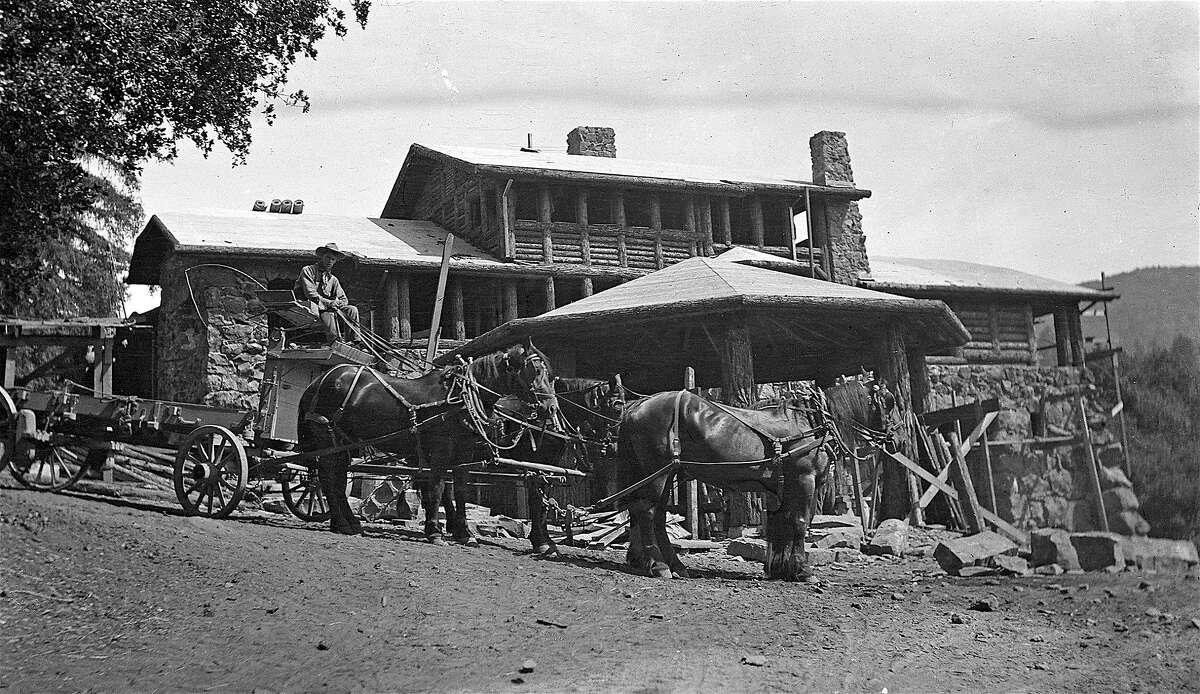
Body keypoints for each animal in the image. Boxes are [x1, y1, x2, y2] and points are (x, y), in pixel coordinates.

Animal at [300, 338, 561, 537]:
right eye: (536, 371)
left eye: (552, 376)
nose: (551, 408)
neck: (460, 397)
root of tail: (318, 381)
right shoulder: (440, 450)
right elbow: (436, 487)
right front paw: (435, 531)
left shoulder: (463, 453)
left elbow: (459, 490)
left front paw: (463, 533)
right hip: (326, 436)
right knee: (327, 477)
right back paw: (343, 523)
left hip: (342, 441)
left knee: (338, 477)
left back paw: (346, 522)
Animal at [614, 389, 830, 578]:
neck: (804, 426)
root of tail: (636, 406)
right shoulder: (803, 479)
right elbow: (799, 522)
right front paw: (802, 570)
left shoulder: (782, 487)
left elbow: (782, 523)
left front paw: (780, 570)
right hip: (657, 474)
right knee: (647, 512)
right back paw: (659, 565)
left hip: (663, 474)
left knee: (653, 514)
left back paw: (665, 564)